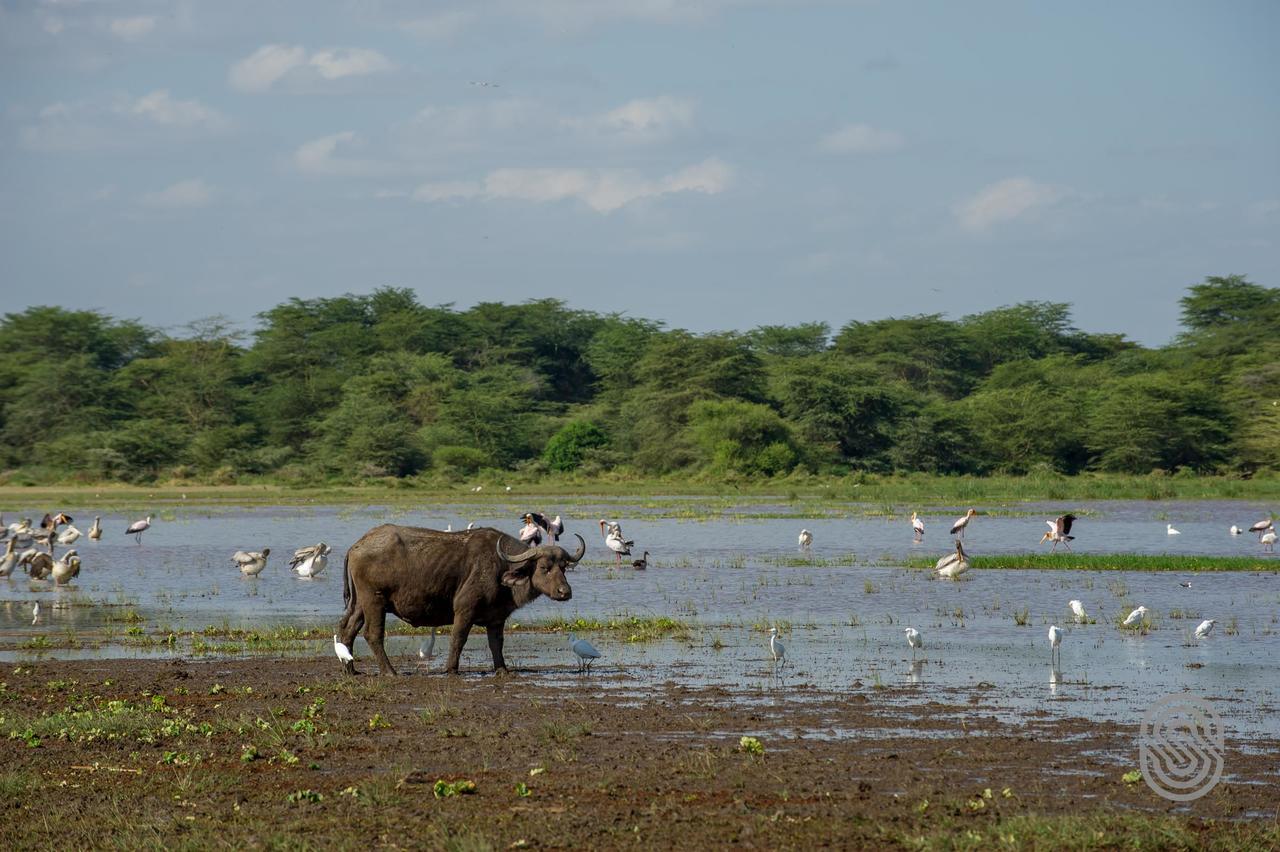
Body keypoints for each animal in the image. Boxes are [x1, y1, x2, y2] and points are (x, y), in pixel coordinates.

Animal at [335, 521, 586, 675]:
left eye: (563, 567)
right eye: (544, 567)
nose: (565, 592)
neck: (500, 566)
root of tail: (358, 545)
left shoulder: (497, 618)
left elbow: (497, 643)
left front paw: (502, 670)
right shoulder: (464, 610)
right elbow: (458, 639)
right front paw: (451, 669)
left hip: (360, 604)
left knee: (348, 629)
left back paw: (351, 669)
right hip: (375, 600)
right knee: (372, 634)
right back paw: (389, 671)